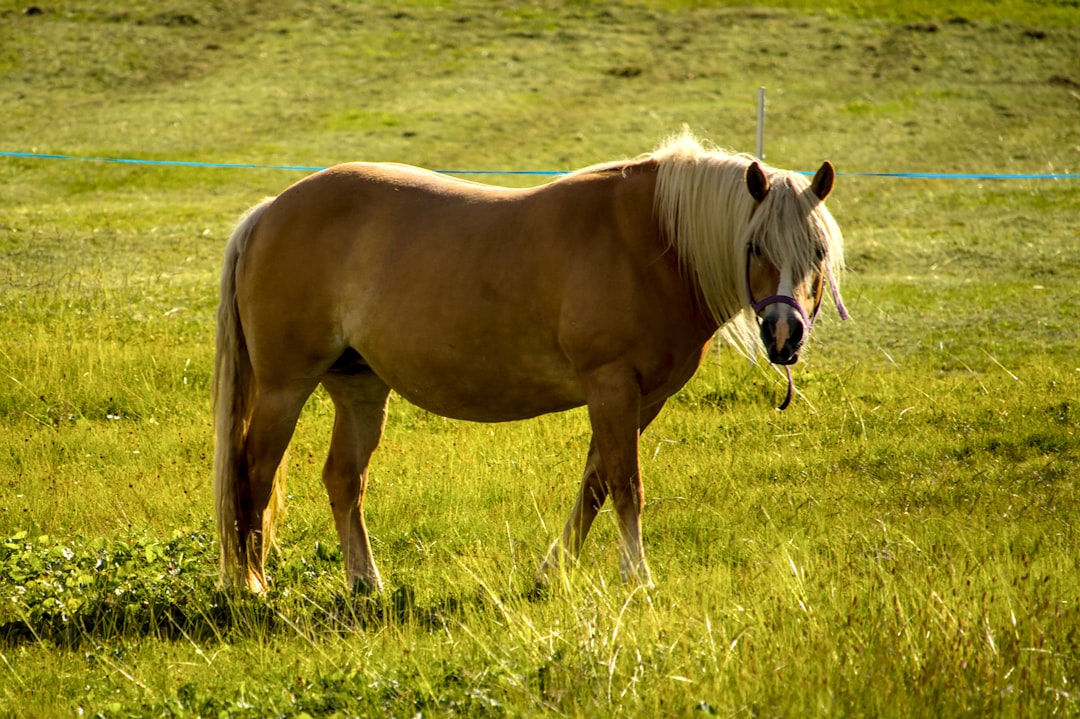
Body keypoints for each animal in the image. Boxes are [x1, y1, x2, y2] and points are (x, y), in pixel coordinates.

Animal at [212, 131, 847, 593]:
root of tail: (270, 212)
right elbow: (626, 484)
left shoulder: (643, 399)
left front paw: (553, 571)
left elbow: (595, 484)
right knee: (253, 475)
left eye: (817, 251)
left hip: (360, 389)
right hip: (283, 388)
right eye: (755, 247)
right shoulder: (611, 385)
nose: (785, 334)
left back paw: (366, 583)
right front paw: (637, 578)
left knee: (344, 479)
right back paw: (251, 585)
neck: (651, 243)